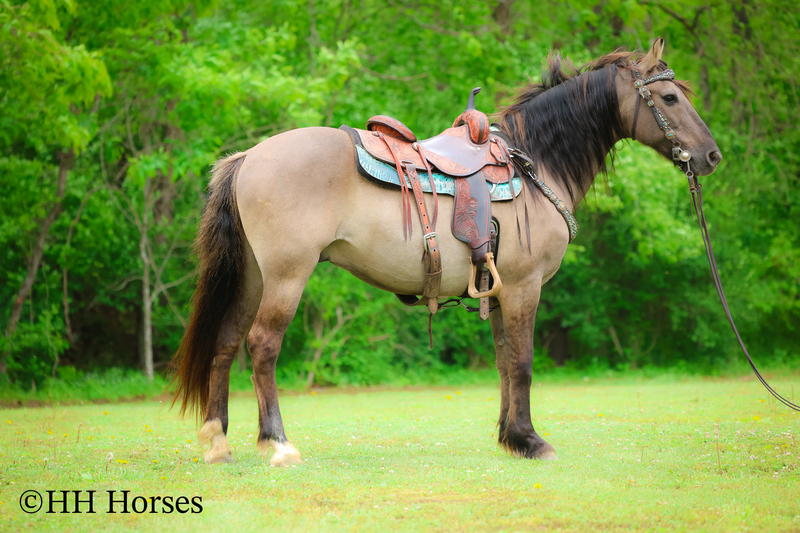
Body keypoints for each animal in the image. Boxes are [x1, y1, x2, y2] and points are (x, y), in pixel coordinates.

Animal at [169, 38, 721, 466]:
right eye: (669, 96)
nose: (712, 156)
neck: (534, 164)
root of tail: (248, 157)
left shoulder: (499, 291)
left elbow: (504, 362)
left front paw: (511, 438)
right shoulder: (524, 287)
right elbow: (523, 361)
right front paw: (531, 441)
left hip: (251, 276)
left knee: (223, 344)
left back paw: (218, 443)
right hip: (286, 276)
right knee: (262, 345)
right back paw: (279, 445)